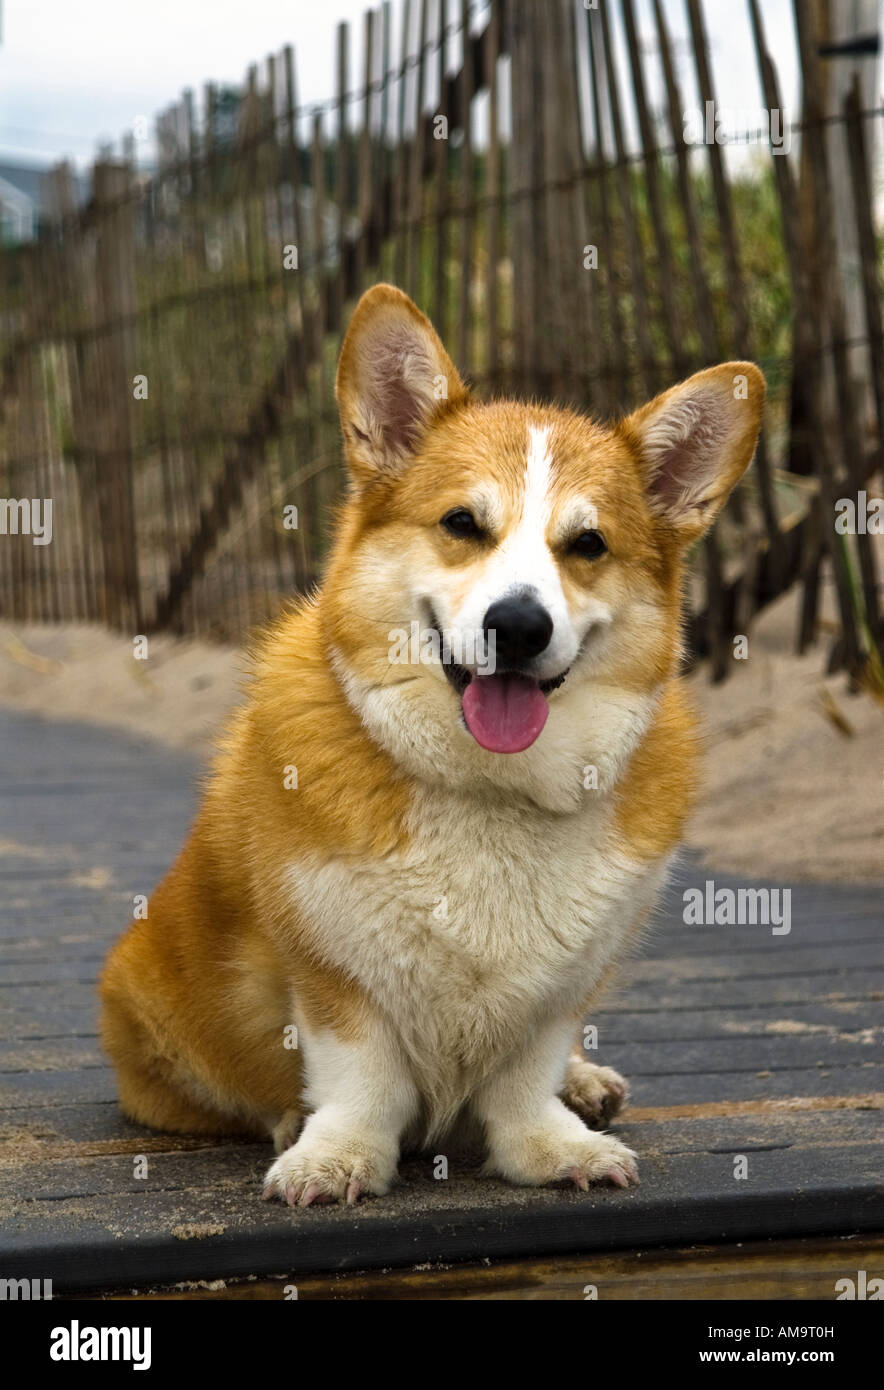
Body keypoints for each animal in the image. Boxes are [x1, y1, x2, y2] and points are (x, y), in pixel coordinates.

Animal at [102, 284, 767, 1206]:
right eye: (462, 523)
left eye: (588, 545)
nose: (517, 627)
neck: (490, 787)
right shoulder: (334, 974)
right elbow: (362, 1074)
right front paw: (335, 1155)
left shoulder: (560, 990)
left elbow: (526, 1070)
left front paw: (550, 1141)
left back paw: (585, 1084)